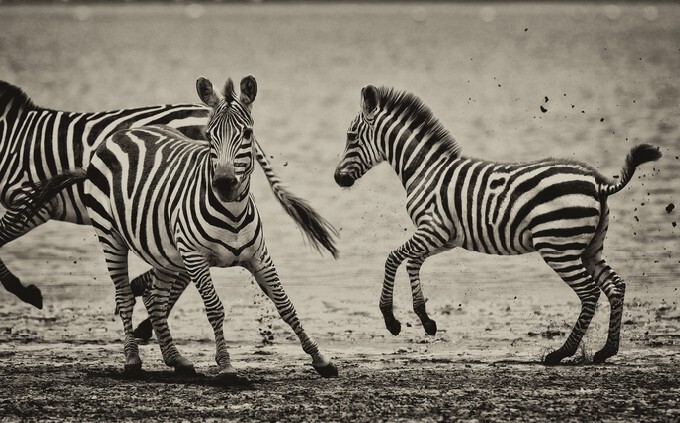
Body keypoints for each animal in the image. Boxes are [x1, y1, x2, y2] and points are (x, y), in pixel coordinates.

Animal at [17, 75, 339, 378]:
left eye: (247, 133)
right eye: (209, 135)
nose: (224, 183)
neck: (232, 213)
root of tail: (121, 133)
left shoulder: (260, 256)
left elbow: (285, 305)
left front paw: (321, 359)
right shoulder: (195, 257)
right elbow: (215, 309)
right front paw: (226, 366)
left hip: (165, 251)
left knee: (156, 300)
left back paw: (177, 360)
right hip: (111, 236)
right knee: (124, 296)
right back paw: (132, 361)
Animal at [333, 85, 661, 365]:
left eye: (351, 137)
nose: (337, 179)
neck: (425, 170)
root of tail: (597, 183)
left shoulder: (433, 229)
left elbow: (393, 258)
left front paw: (391, 319)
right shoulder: (444, 237)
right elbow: (413, 263)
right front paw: (425, 319)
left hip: (559, 247)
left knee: (591, 293)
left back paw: (560, 354)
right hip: (590, 247)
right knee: (615, 286)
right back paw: (606, 350)